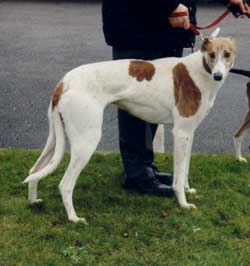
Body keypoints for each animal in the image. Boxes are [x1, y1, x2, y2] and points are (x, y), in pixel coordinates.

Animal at [23, 34, 236, 222]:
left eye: (227, 54)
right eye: (211, 54)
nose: (218, 76)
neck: (200, 71)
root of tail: (65, 81)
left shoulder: (189, 133)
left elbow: (185, 170)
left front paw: (187, 189)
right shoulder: (181, 133)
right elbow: (178, 175)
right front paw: (183, 204)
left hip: (54, 138)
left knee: (34, 170)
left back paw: (34, 201)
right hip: (86, 141)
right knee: (65, 184)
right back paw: (73, 218)